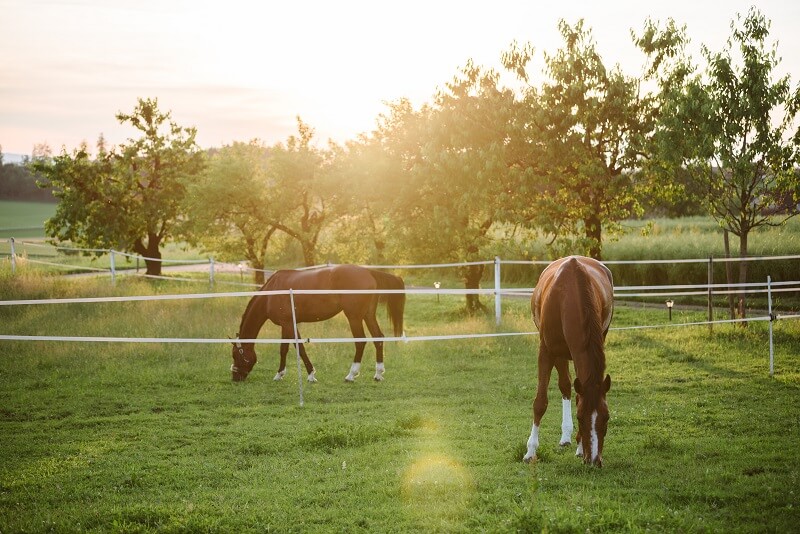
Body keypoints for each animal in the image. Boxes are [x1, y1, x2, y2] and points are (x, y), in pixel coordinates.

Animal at [231, 264, 406, 384]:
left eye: (236, 355)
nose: (235, 376)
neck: (272, 292)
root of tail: (368, 272)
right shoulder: (288, 324)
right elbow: (288, 348)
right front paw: (282, 374)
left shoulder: (288, 324)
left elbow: (295, 348)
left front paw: (308, 375)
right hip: (368, 315)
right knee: (378, 338)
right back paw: (378, 374)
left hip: (354, 317)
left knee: (360, 341)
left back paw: (351, 375)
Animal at [520, 258, 616, 466]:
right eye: (580, 417)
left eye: (607, 417)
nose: (594, 460)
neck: (569, 295)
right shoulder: (547, 352)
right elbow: (540, 402)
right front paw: (530, 451)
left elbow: (579, 396)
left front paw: (581, 448)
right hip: (560, 354)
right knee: (564, 385)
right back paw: (565, 437)